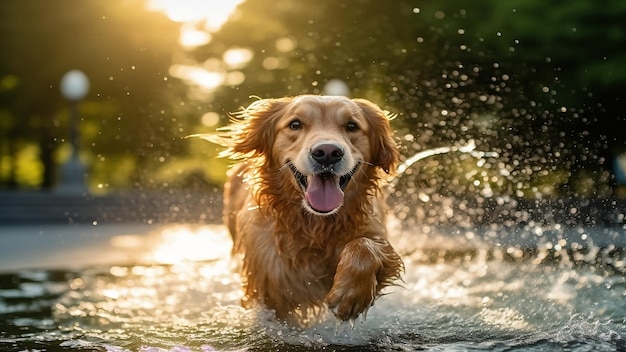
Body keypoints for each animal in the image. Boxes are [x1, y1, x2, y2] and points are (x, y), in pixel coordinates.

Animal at [202, 95, 402, 326]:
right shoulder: (268, 288)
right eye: (295, 124)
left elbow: (365, 245)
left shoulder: (374, 233)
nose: (327, 153)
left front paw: (350, 294)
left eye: (352, 126)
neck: (316, 228)